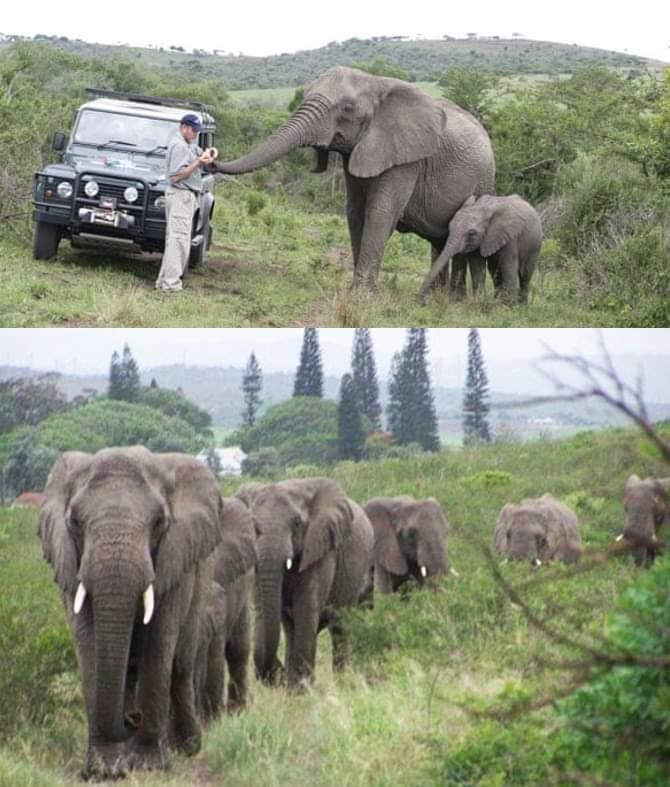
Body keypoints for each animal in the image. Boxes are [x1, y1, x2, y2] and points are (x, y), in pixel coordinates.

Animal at [38, 446, 236, 780]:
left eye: (159, 522)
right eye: (74, 521)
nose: (131, 720)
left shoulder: (174, 561)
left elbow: (158, 644)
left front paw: (148, 766)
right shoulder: (70, 564)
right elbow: (88, 645)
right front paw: (104, 769)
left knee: (180, 665)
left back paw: (186, 748)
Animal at [213, 67, 496, 292]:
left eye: (348, 108)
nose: (211, 157)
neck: (376, 82)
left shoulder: (407, 158)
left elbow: (379, 212)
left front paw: (362, 296)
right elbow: (355, 212)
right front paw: (356, 290)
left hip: (484, 180)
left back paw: (454, 300)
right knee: (440, 242)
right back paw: (439, 297)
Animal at [236, 478, 376, 688]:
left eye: (296, 523)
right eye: (252, 525)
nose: (278, 673)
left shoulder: (320, 547)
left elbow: (305, 609)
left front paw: (301, 690)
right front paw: (294, 687)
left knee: (339, 626)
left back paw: (341, 683)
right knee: (290, 627)